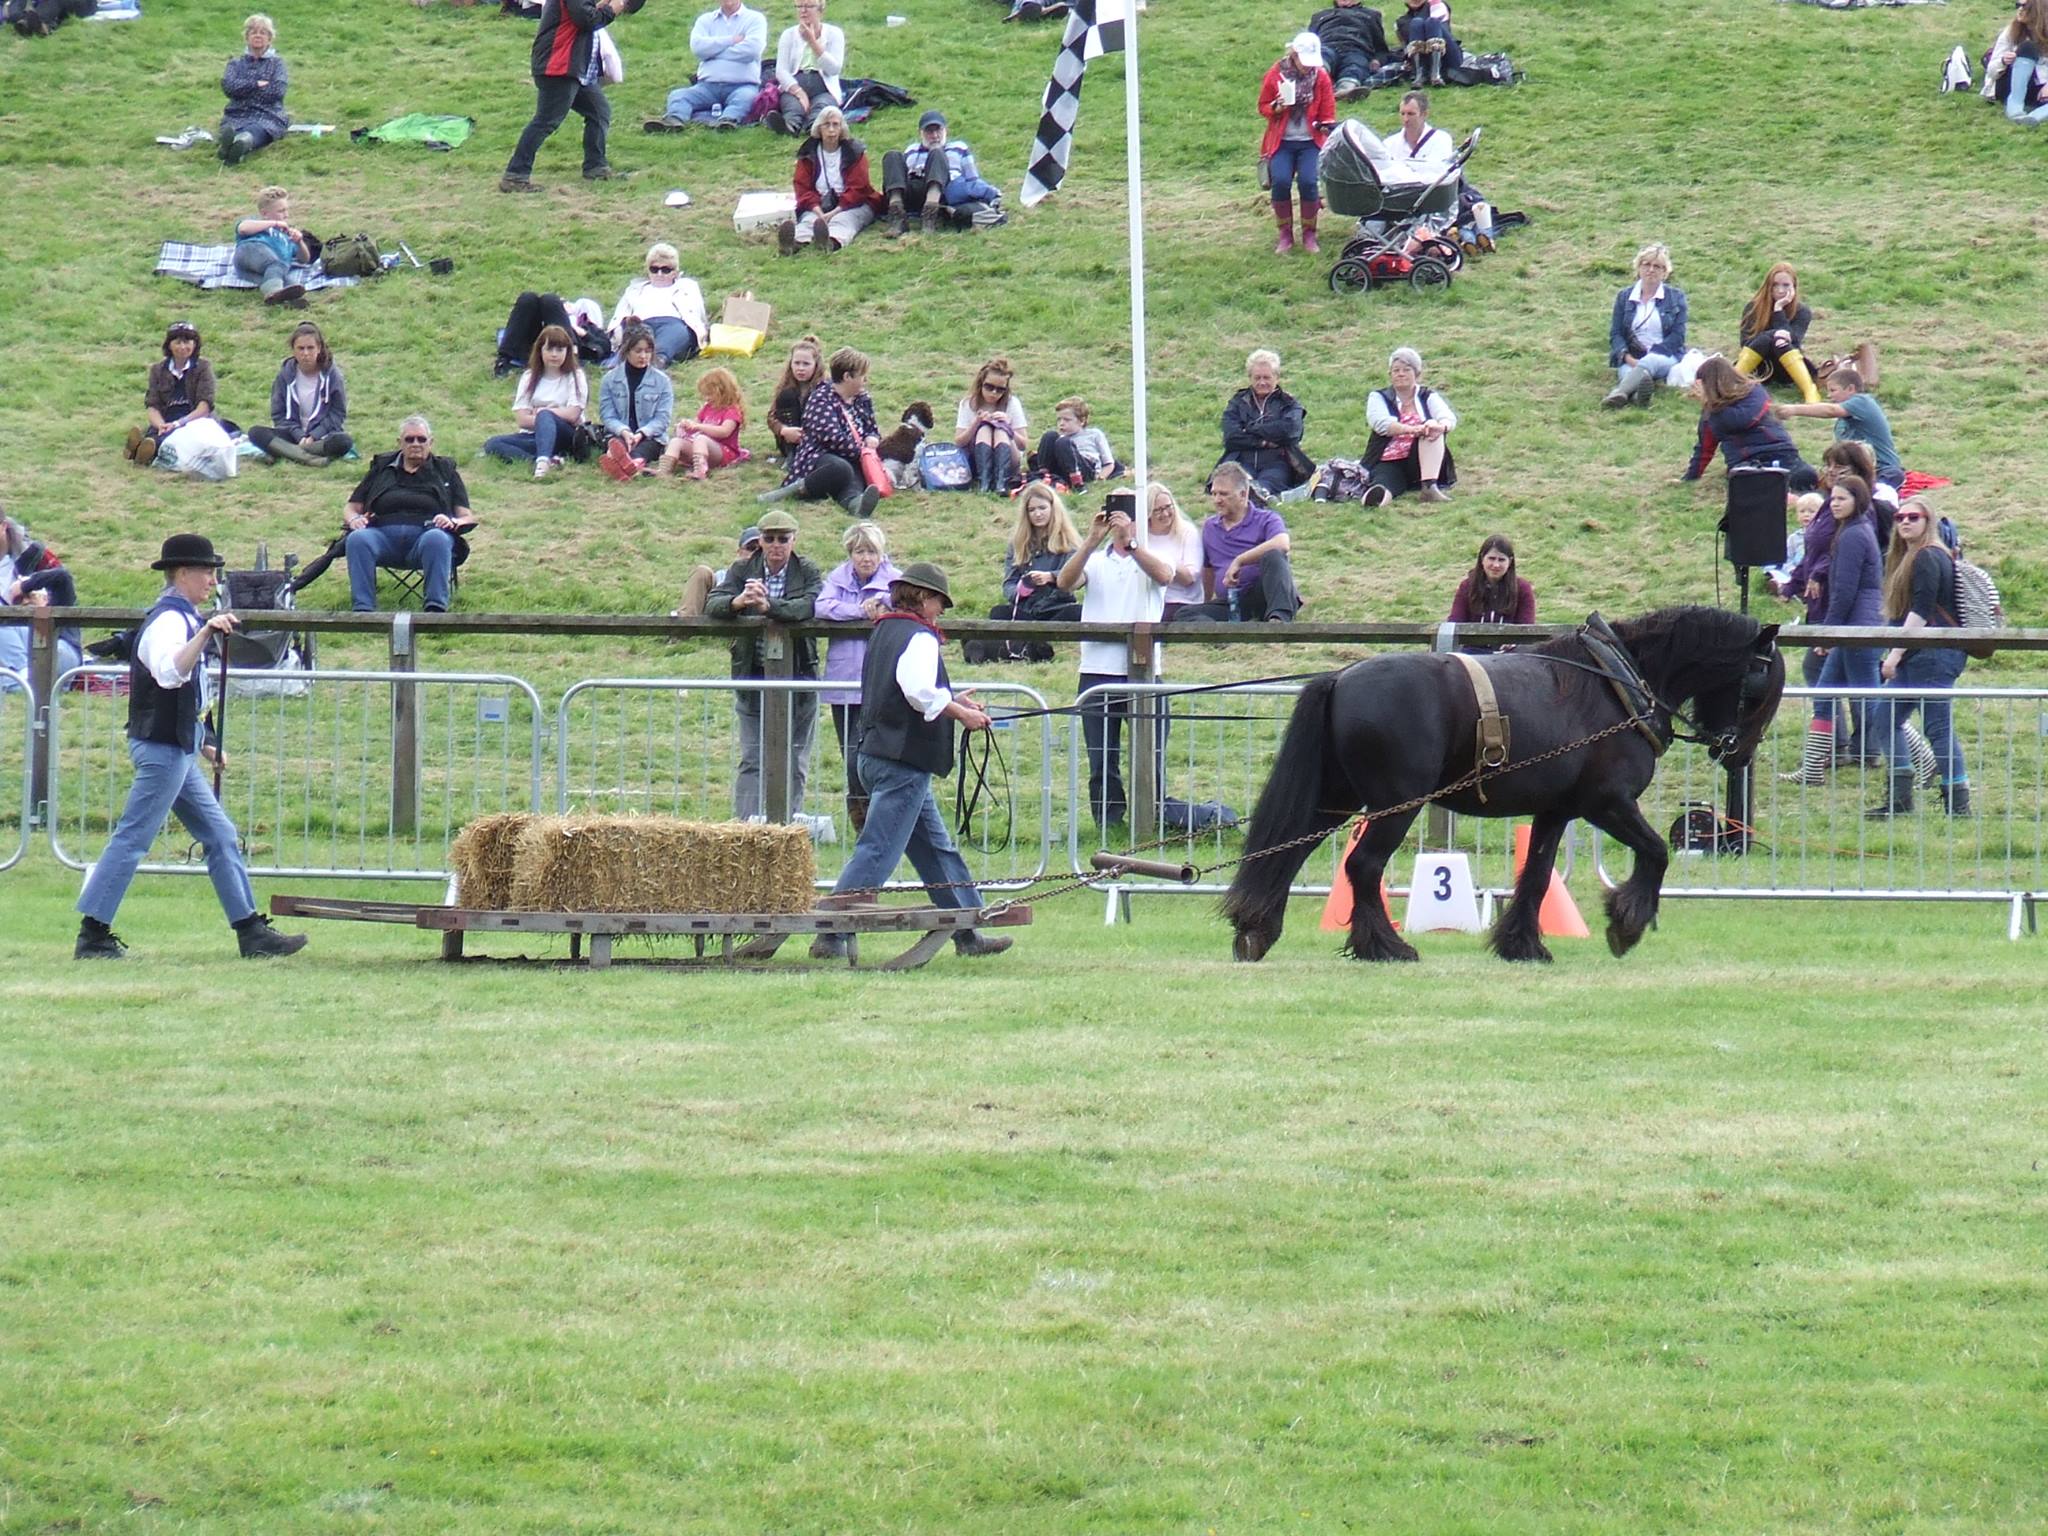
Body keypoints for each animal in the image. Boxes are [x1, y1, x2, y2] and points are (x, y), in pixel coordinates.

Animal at [1220, 610, 1785, 962]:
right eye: (1763, 686)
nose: (1738, 752)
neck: (1617, 683)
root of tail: (1341, 678)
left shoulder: (1557, 811)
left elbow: (1535, 877)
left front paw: (1523, 944)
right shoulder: (1608, 803)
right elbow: (1656, 853)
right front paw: (1626, 924)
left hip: (1335, 800)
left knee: (1287, 851)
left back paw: (1258, 929)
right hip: (1396, 804)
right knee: (1363, 867)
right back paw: (1385, 947)